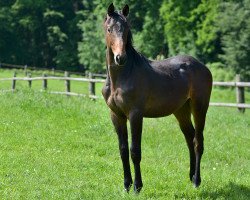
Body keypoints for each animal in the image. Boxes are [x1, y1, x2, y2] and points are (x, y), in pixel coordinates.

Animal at [101, 3, 213, 193]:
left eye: (126, 29)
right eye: (109, 29)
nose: (120, 58)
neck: (123, 76)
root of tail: (202, 67)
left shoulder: (135, 115)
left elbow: (134, 151)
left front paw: (137, 187)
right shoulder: (116, 116)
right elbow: (123, 151)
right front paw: (126, 185)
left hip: (200, 107)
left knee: (198, 141)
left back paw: (197, 181)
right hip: (181, 111)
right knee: (190, 139)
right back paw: (191, 177)